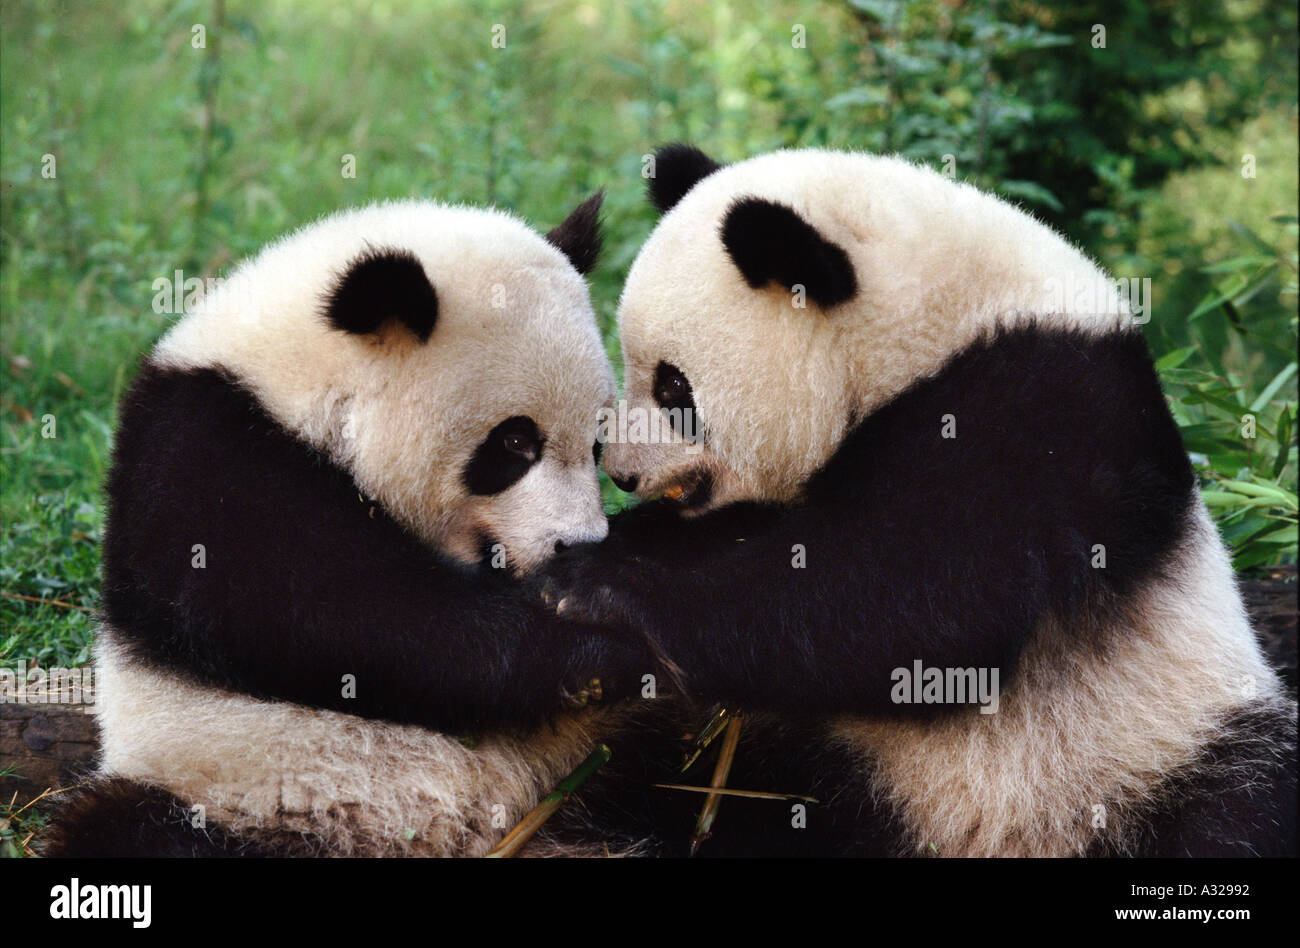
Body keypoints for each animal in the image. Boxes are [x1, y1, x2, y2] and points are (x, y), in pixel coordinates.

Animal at [43, 193, 670, 858]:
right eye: (516, 442)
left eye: (598, 440)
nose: (576, 543)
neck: (296, 381)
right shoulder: (205, 456)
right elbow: (355, 618)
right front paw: (605, 650)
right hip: (223, 788)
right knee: (126, 827)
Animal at [533, 142, 1294, 858]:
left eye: (673, 387)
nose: (621, 471)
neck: (934, 322)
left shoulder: (1043, 414)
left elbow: (911, 601)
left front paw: (596, 585)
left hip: (1153, 747)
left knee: (1231, 810)